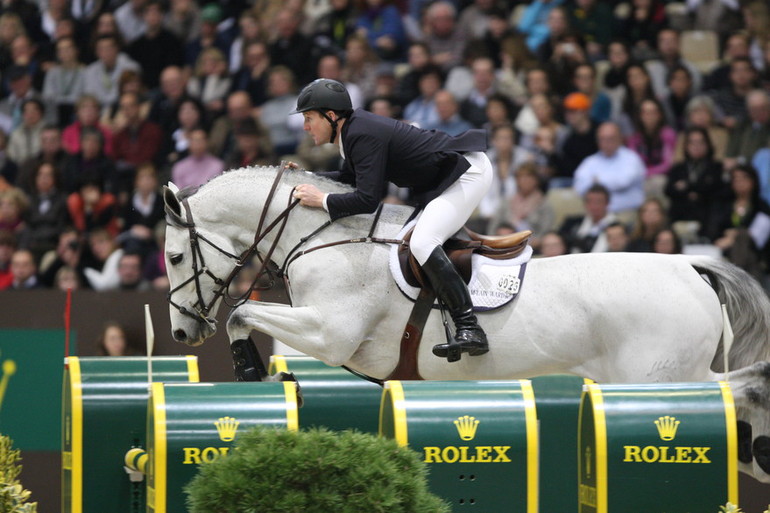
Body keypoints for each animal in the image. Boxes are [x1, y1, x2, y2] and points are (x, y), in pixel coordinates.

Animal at [160, 165, 768, 484]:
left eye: (172, 257)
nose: (182, 335)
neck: (324, 238)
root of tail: (688, 264)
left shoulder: (331, 333)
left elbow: (241, 312)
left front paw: (254, 372)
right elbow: (244, 315)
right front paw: (269, 378)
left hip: (659, 378)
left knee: (736, 389)